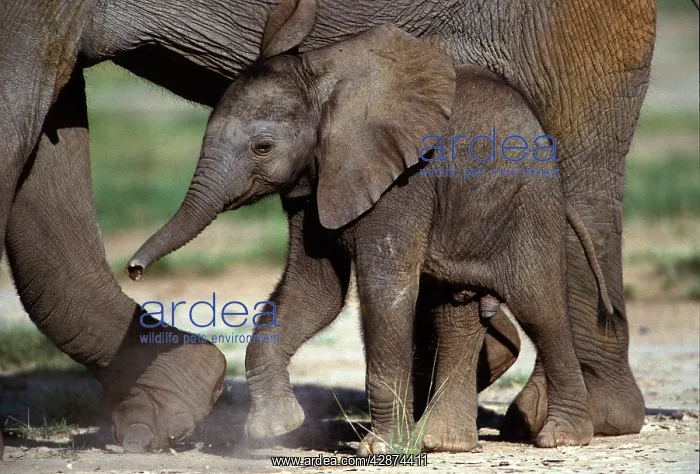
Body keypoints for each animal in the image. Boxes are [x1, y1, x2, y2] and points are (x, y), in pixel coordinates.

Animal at [0, 0, 655, 453]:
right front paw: (273, 431)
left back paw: (560, 434)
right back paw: (447, 441)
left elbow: (385, 290)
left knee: (541, 297)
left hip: (536, 179)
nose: (135, 269)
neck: (329, 83)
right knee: (454, 304)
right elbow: (313, 292)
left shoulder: (402, 181)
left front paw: (379, 448)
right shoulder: (319, 180)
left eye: (263, 146)